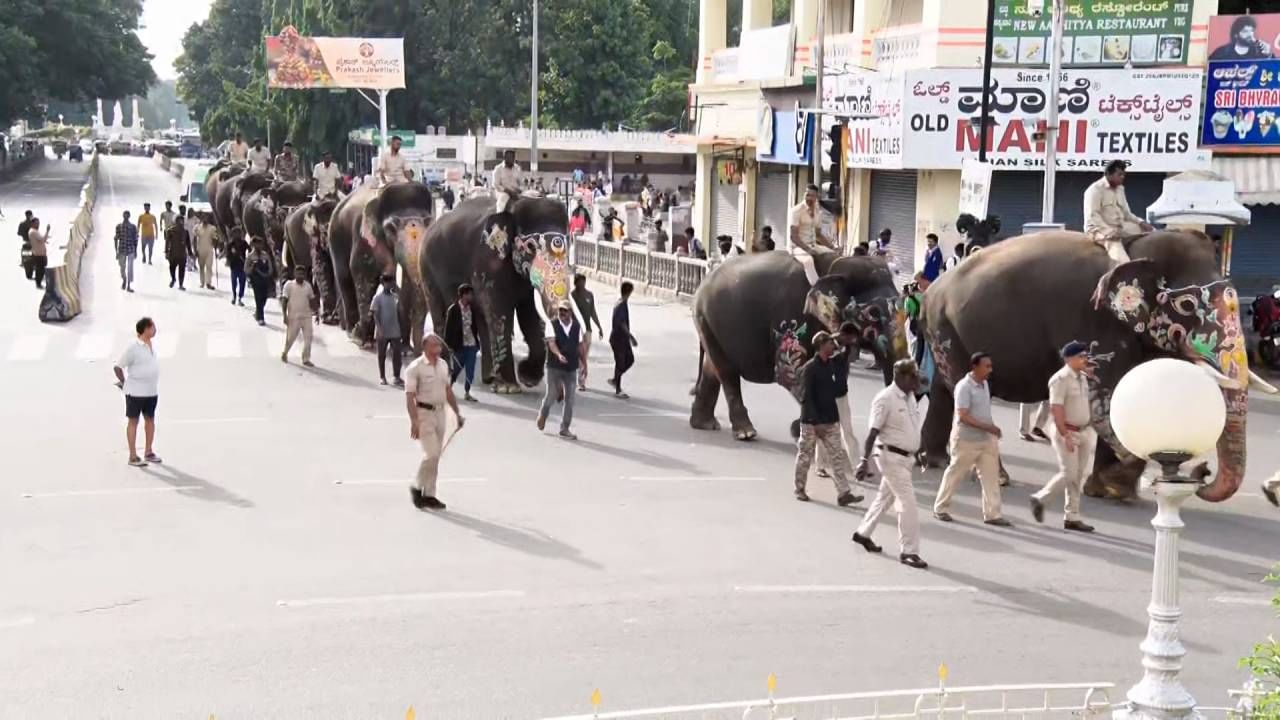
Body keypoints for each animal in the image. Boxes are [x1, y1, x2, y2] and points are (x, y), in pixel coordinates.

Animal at [327, 179, 432, 348]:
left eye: (428, 222)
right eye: (391, 228)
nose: (419, 347)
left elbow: (407, 284)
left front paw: (405, 349)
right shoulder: (363, 235)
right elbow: (364, 273)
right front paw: (361, 339)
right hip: (335, 233)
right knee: (344, 277)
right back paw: (352, 332)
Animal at [414, 194, 570, 392]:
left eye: (568, 244)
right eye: (530, 246)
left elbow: (529, 315)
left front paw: (527, 378)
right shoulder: (488, 263)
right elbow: (500, 314)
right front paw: (510, 388)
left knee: (480, 316)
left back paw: (489, 378)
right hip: (426, 270)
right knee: (441, 313)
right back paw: (445, 365)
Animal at [691, 245, 901, 440]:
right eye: (873, 313)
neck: (837, 264)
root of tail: (703, 282)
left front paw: (802, 429)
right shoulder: (790, 316)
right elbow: (790, 373)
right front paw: (801, 430)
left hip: (710, 325)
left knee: (712, 368)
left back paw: (704, 424)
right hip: (707, 318)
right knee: (726, 372)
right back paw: (745, 432)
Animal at [916, 226, 1274, 502]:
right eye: (1186, 305)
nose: (1203, 473)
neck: (1138, 246)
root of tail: (932, 289)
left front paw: (1110, 491)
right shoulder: (1094, 322)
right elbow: (1104, 401)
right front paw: (1117, 483)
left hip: (945, 334)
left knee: (945, 388)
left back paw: (934, 460)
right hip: (946, 327)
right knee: (964, 394)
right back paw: (996, 477)